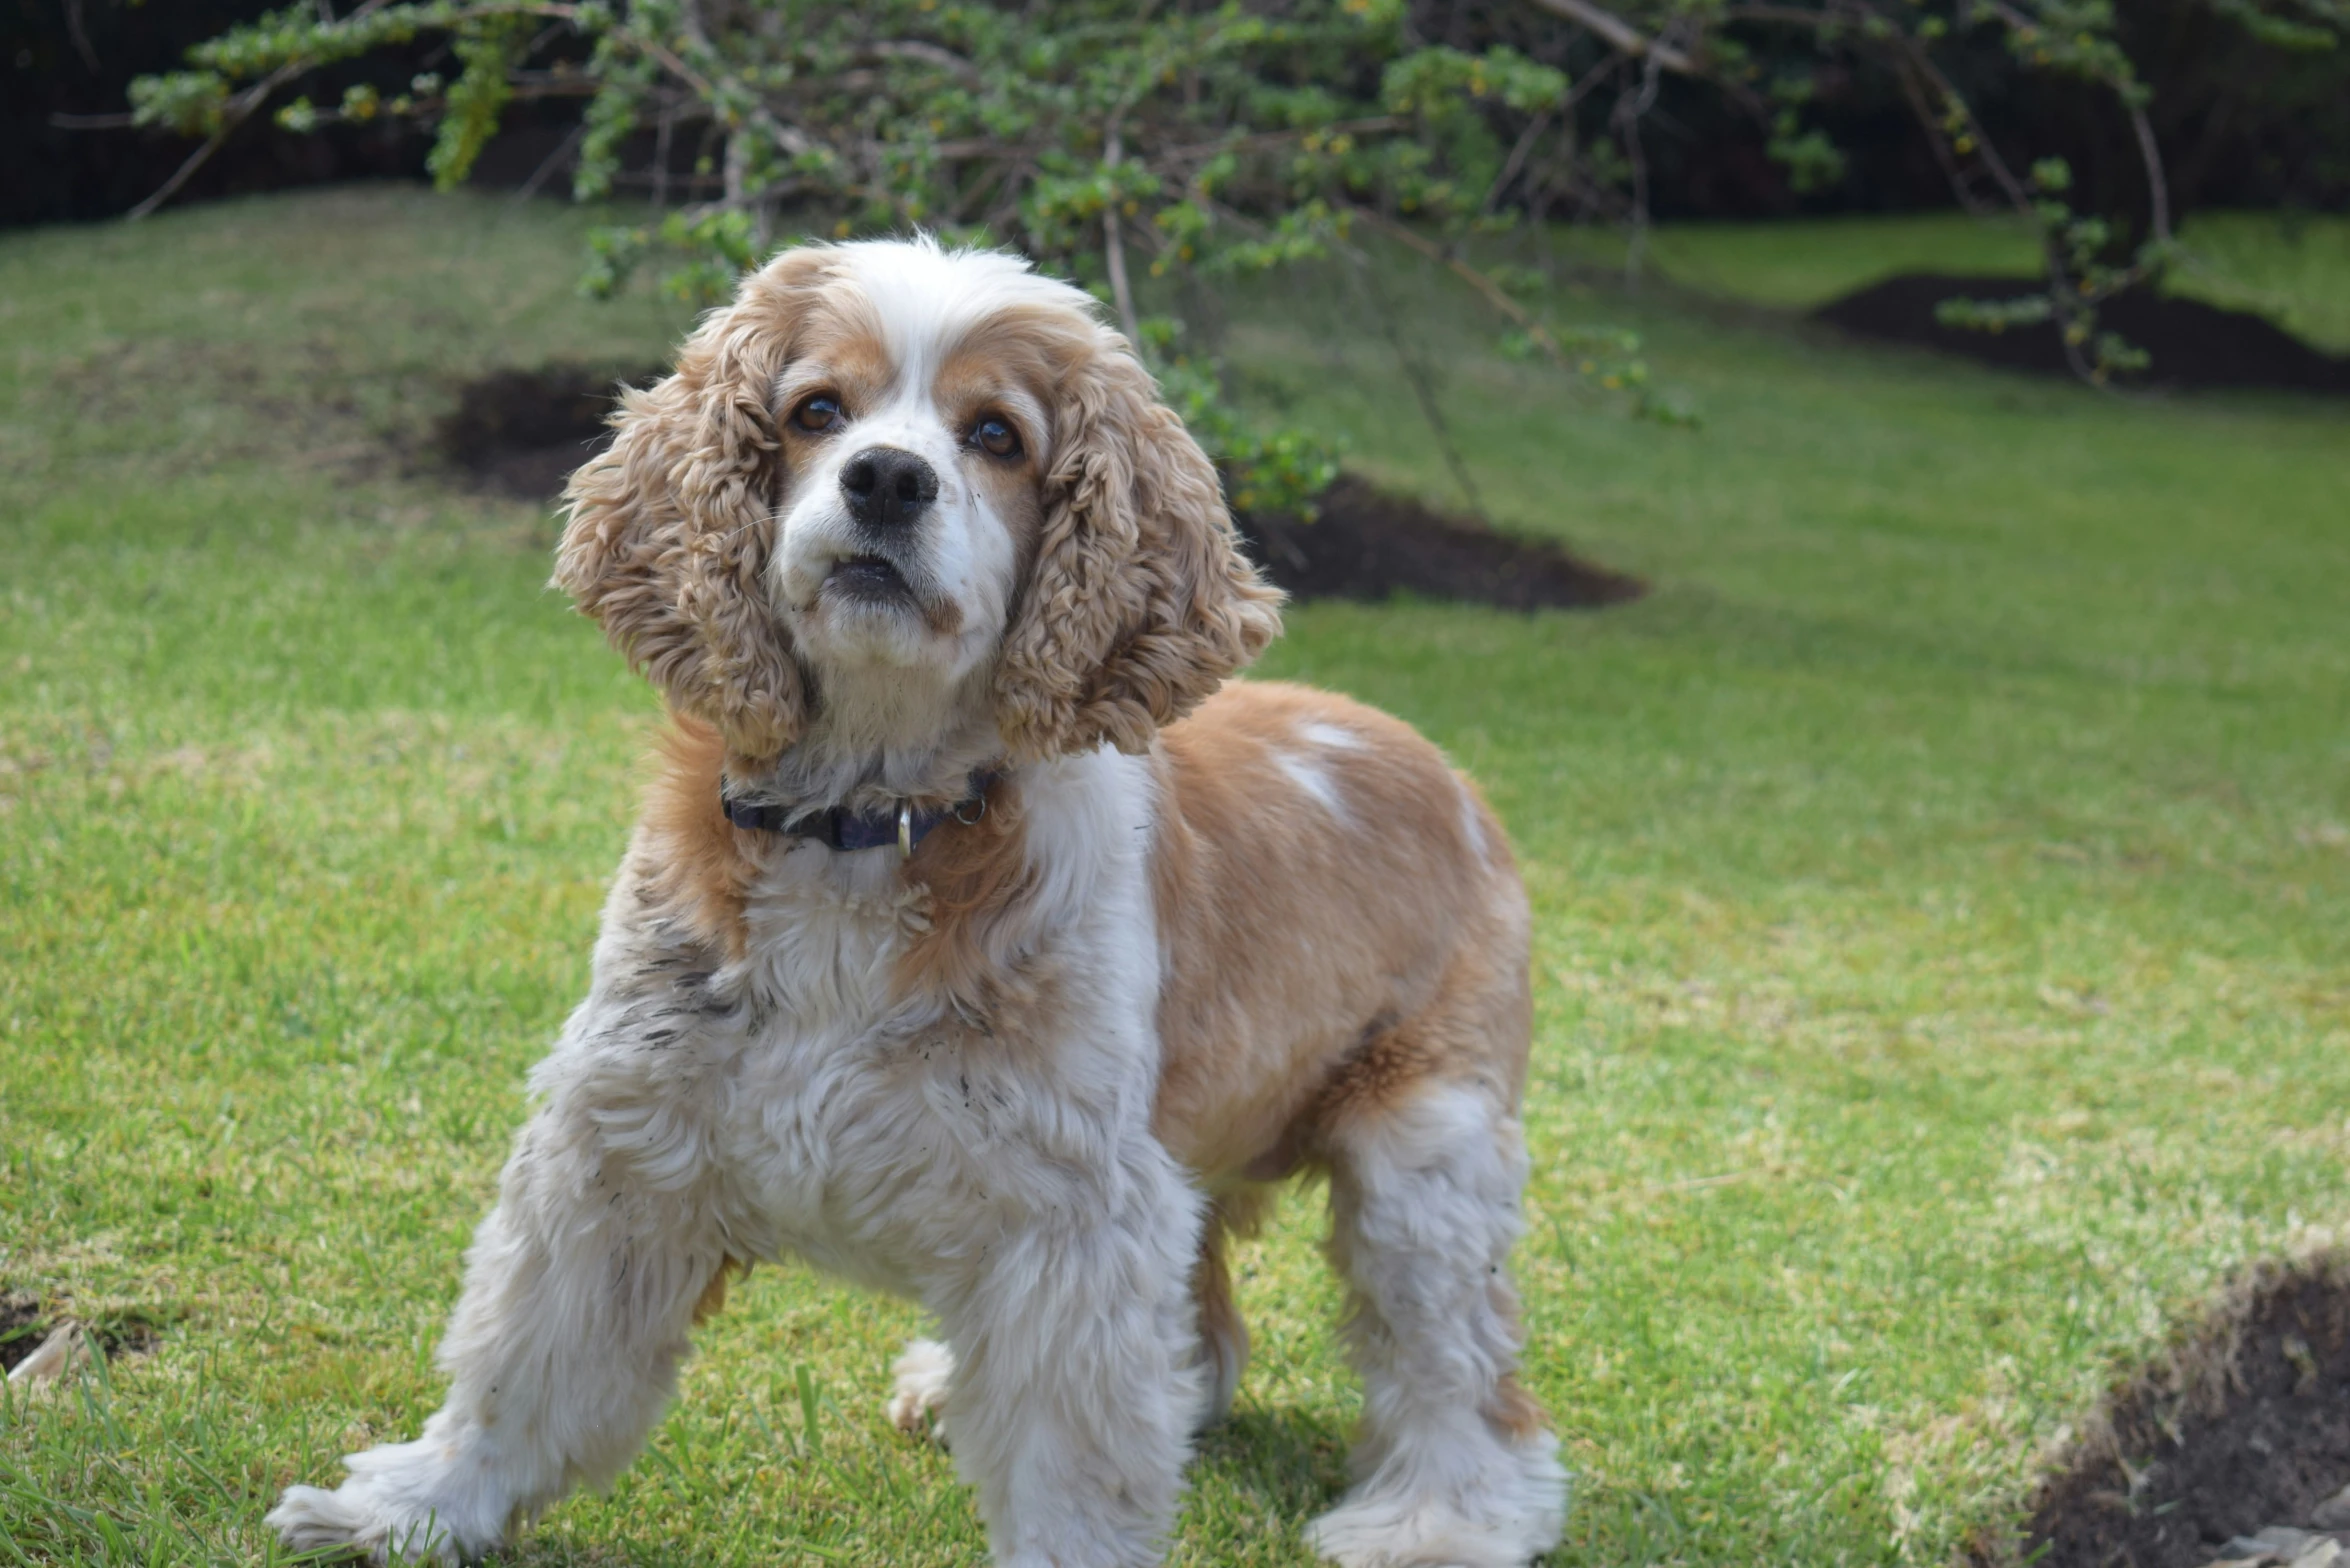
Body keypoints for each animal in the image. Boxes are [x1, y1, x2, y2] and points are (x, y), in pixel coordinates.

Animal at [266, 236, 1569, 1568]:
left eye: (996, 434)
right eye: (814, 410)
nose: (887, 476)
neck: (864, 822)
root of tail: (1440, 765)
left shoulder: (1074, 1218)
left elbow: (1071, 1478)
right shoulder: (620, 1139)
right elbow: (522, 1359)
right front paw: (413, 1504)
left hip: (1425, 1153)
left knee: (1462, 1376)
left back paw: (1440, 1518)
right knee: (1207, 1328)